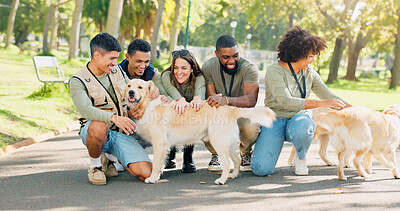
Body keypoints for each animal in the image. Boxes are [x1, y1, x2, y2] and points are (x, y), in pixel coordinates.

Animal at [123, 79, 276, 185]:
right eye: (129, 86)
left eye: (140, 87)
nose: (130, 92)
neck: (147, 105)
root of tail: (230, 108)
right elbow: (160, 164)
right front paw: (157, 176)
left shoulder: (159, 144)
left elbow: (155, 164)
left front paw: (152, 178)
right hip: (228, 143)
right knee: (237, 159)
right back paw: (233, 176)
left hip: (218, 141)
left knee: (227, 162)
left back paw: (222, 180)